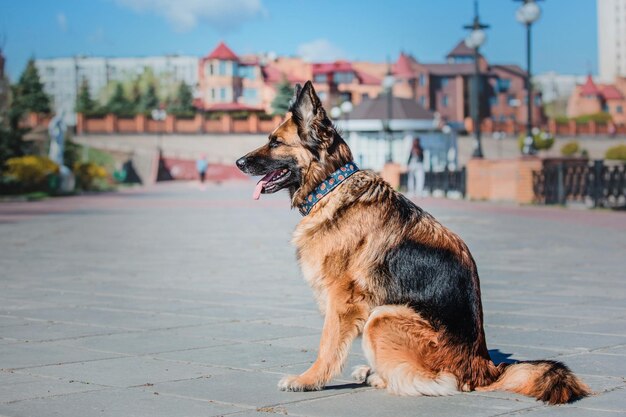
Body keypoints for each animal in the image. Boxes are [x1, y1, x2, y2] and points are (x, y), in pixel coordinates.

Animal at [235, 81, 588, 404]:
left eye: (275, 142)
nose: (239, 162)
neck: (330, 187)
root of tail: (486, 369)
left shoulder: (340, 300)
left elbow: (327, 345)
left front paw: (308, 380)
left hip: (383, 317)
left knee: (439, 382)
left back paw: (382, 377)